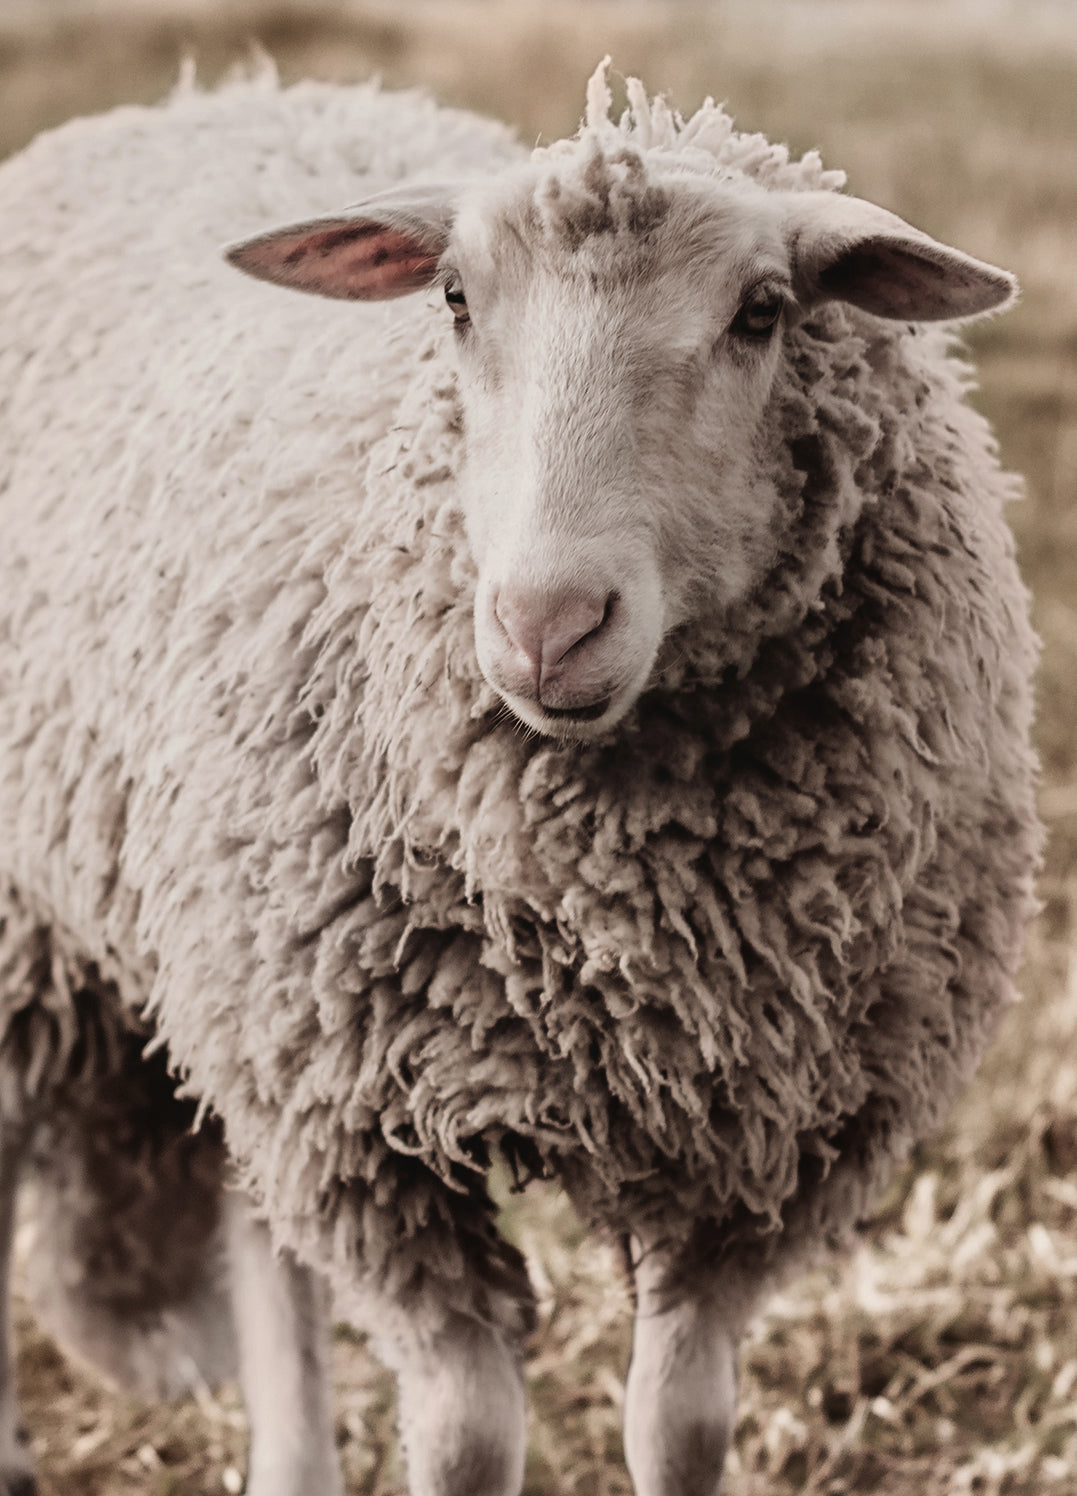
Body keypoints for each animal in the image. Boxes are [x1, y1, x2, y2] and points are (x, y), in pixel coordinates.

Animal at [0, 57, 1040, 1496]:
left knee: (265, 1240)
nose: (548, 622)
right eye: (451, 297)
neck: (618, 928)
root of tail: (212, 91)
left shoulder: (755, 1145)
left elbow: (682, 1421)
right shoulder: (371, 1134)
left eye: (762, 313)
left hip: (250, 980)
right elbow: (465, 1436)